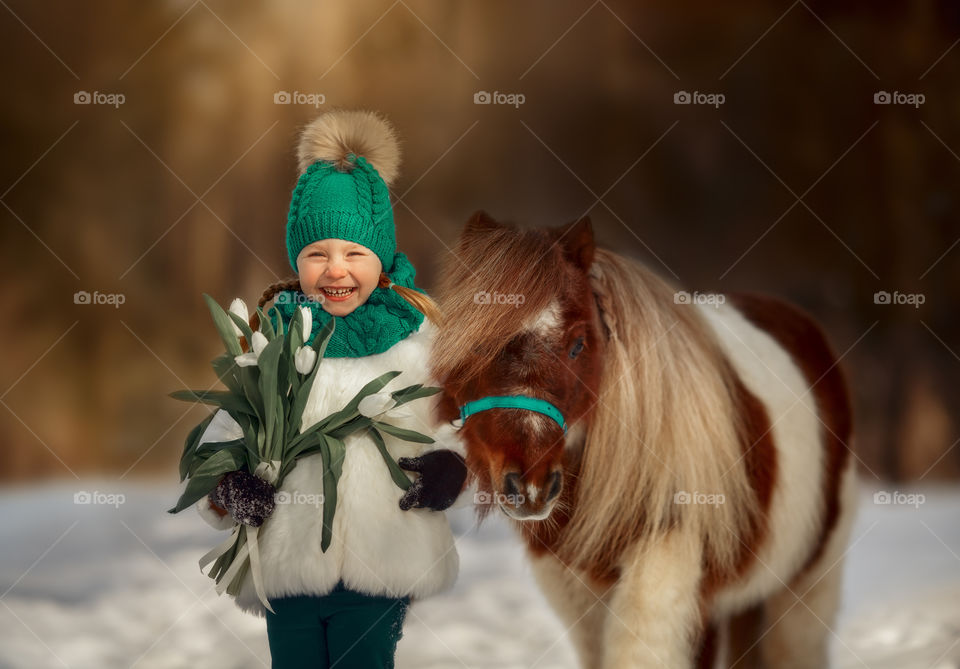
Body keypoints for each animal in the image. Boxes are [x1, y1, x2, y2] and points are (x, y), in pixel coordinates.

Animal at [432, 213, 860, 668]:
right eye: (478, 343)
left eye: (578, 345)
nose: (530, 486)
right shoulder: (577, 591)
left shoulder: (666, 582)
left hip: (804, 591)